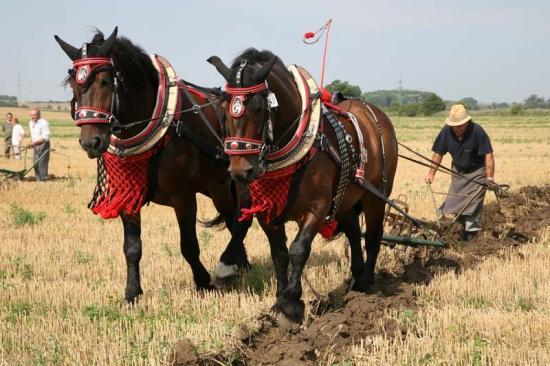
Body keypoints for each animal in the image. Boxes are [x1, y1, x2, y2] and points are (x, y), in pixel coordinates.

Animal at [55, 27, 251, 304]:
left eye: (105, 81)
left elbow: (189, 245)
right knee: (233, 219)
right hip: (217, 187)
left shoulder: (183, 196)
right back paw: (239, 265)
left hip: (231, 183)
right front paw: (132, 292)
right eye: (74, 84)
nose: (90, 142)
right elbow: (132, 248)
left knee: (241, 218)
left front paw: (203, 282)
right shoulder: (127, 195)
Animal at [209, 49, 398, 324]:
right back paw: (355, 276)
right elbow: (279, 253)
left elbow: (298, 250)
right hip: (345, 197)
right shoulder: (267, 210)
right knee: (354, 232)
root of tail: (374, 112)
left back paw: (365, 283)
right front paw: (280, 300)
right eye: (224, 110)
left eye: (258, 107)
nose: (240, 171)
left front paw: (293, 302)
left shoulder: (318, 207)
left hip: (376, 194)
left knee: (373, 236)